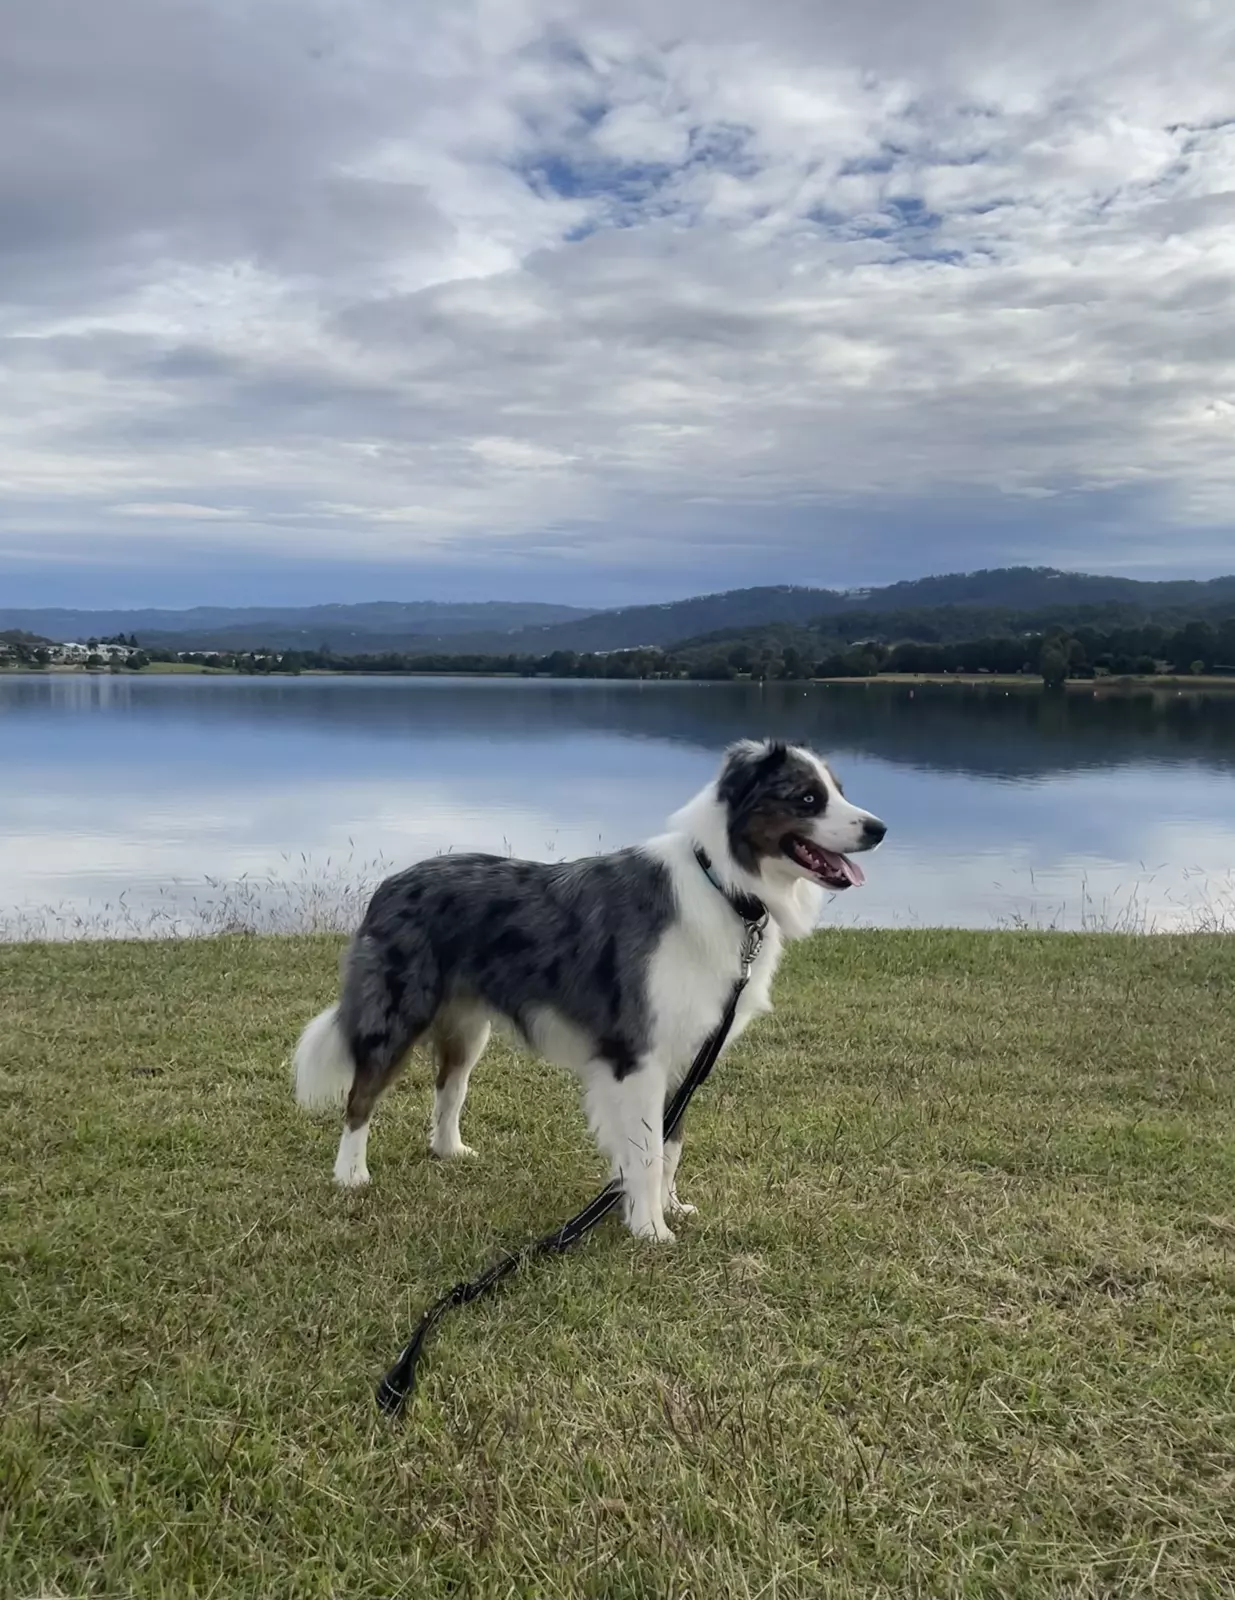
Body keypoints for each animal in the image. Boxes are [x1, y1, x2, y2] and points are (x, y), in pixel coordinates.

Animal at [292, 738, 886, 1242]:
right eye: (808, 798)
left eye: (839, 789)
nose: (879, 828)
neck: (725, 885)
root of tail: (389, 884)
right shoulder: (638, 1054)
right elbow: (646, 1150)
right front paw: (650, 1231)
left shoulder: (687, 1053)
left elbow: (670, 1145)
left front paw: (667, 1207)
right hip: (399, 1011)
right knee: (361, 1095)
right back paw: (351, 1175)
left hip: (468, 1026)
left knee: (449, 1088)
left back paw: (449, 1150)